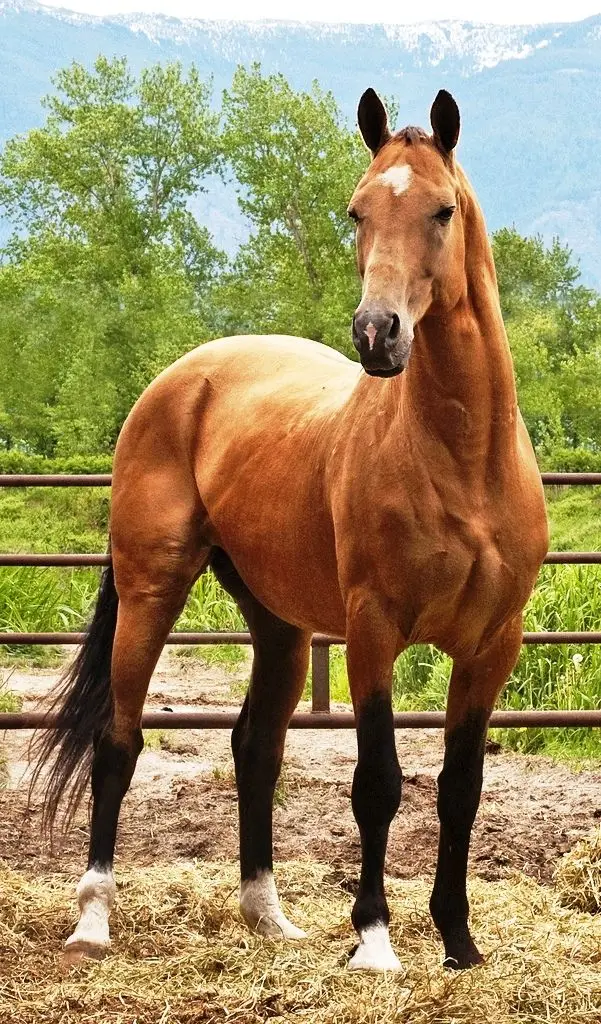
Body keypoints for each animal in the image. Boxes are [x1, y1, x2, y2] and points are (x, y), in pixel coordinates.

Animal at [32, 87, 548, 972]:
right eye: (357, 210)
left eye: (442, 210)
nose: (377, 334)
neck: (462, 460)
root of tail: (180, 379)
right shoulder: (373, 631)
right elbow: (377, 782)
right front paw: (372, 940)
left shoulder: (493, 645)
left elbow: (459, 789)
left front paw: (457, 941)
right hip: (151, 592)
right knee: (118, 741)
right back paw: (93, 920)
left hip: (276, 624)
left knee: (255, 748)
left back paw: (267, 916)